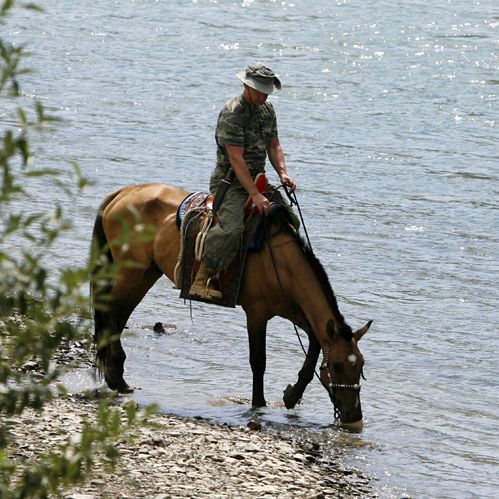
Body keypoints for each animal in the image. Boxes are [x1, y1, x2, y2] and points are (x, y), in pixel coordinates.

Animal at [90, 184, 374, 426]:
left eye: (360, 366)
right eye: (337, 366)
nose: (353, 415)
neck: (281, 263)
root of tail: (123, 193)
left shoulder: (294, 310)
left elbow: (315, 342)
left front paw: (293, 394)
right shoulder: (257, 313)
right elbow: (258, 361)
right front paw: (259, 403)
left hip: (147, 271)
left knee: (120, 315)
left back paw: (117, 376)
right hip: (130, 270)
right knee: (110, 310)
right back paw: (115, 375)